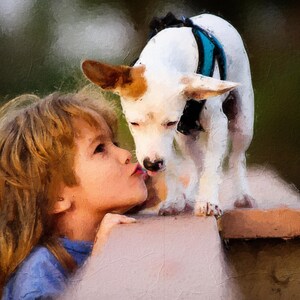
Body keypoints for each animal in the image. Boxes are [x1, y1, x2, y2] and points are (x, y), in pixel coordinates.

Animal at [81, 12, 255, 217]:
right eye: (134, 123)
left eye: (171, 122)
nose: (152, 164)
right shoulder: (173, 138)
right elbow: (172, 166)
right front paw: (175, 200)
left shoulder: (217, 124)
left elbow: (212, 166)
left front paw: (207, 201)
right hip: (186, 138)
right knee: (197, 163)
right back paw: (190, 195)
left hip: (243, 123)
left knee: (236, 157)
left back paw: (243, 195)